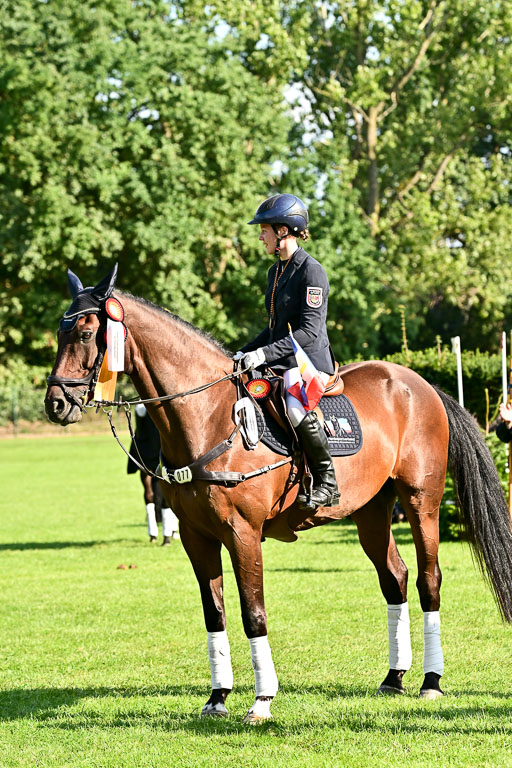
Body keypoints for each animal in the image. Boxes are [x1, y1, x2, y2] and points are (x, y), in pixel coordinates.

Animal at [45, 266, 512, 723]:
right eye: (60, 333)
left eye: (85, 334)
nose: (56, 404)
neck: (208, 417)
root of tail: (422, 385)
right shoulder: (197, 537)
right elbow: (214, 613)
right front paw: (217, 697)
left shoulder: (243, 534)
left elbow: (253, 613)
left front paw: (262, 701)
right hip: (371, 512)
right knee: (394, 578)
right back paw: (394, 677)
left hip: (420, 502)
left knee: (429, 580)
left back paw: (431, 681)